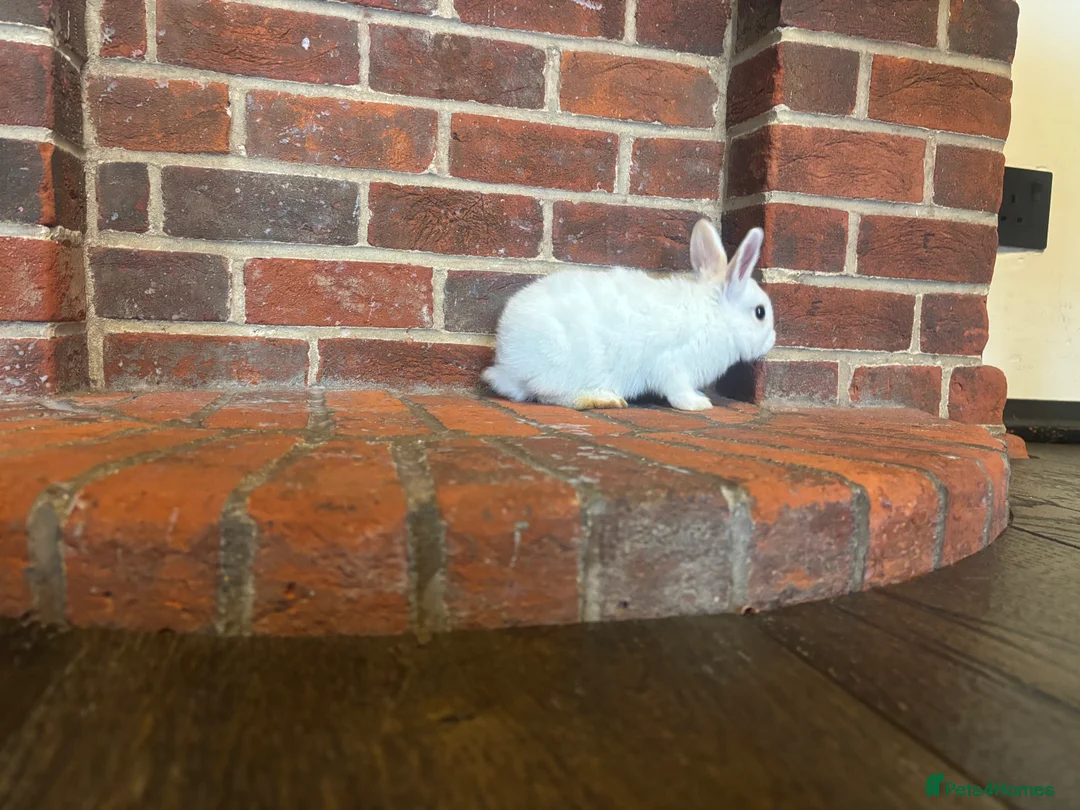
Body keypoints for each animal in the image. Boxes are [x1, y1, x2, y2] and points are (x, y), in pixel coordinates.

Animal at [481, 218, 775, 411]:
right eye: (760, 312)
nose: (772, 340)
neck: (715, 315)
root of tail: (506, 364)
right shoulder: (674, 366)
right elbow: (678, 393)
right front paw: (699, 404)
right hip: (561, 366)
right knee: (550, 396)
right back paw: (600, 399)